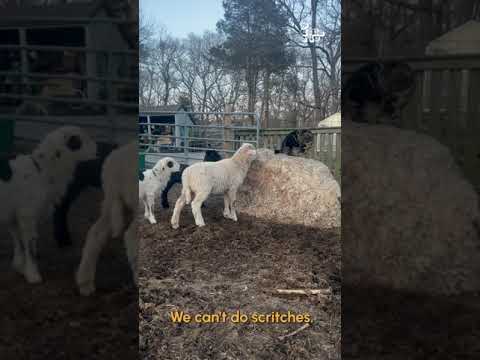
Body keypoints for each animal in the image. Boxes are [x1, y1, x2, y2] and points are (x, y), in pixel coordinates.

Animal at [1, 126, 97, 284]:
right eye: (77, 141)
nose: (98, 150)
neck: (41, 170)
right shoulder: (27, 214)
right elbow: (29, 245)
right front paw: (33, 275)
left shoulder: (14, 214)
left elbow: (18, 240)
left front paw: (19, 266)